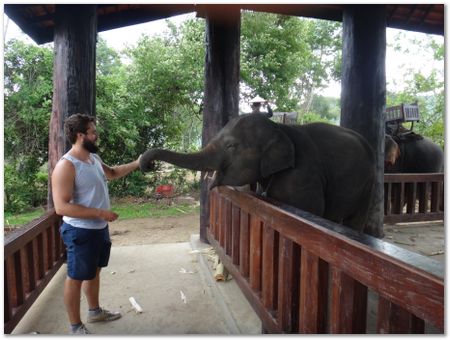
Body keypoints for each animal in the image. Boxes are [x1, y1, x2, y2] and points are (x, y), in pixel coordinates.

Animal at [141, 114, 376, 234]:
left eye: (231, 146)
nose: (148, 165)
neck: (280, 128)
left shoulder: (302, 176)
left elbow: (309, 212)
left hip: (368, 184)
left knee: (356, 219)